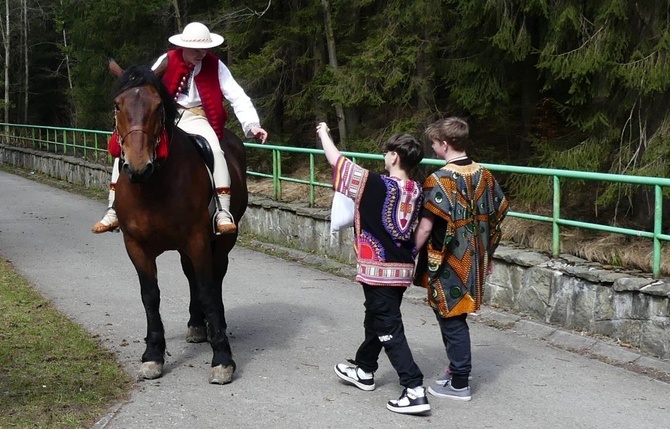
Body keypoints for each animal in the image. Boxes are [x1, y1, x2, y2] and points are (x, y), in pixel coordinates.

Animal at [109, 58, 248, 382]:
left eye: (158, 105)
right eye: (118, 105)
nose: (137, 167)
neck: (153, 185)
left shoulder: (197, 239)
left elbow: (208, 290)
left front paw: (222, 357)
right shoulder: (136, 245)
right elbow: (150, 296)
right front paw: (153, 354)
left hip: (221, 240)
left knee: (215, 276)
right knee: (191, 275)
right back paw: (197, 325)